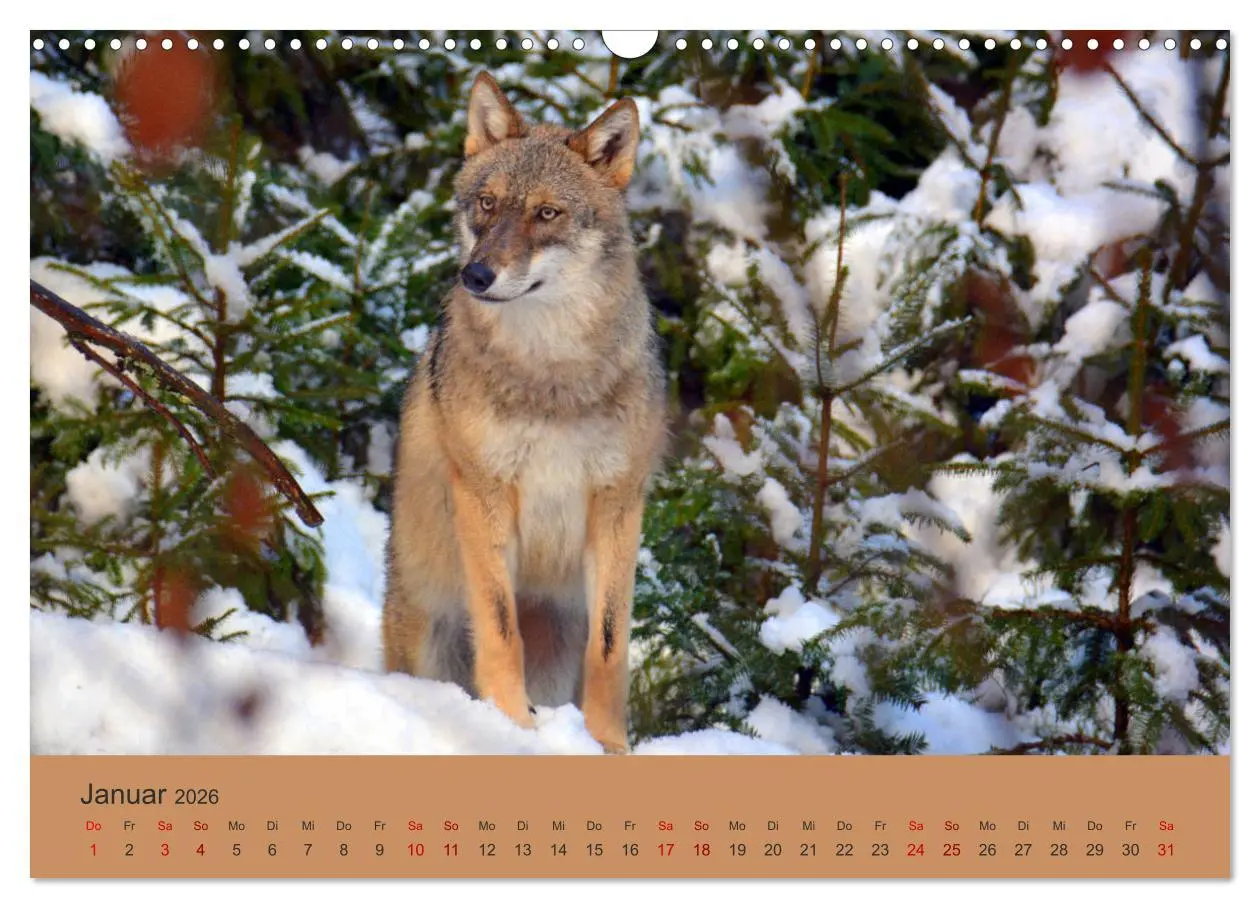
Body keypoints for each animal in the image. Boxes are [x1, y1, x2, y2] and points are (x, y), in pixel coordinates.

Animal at [382, 73, 668, 754]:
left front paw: (607, 746)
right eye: (487, 205)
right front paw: (513, 728)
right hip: (427, 631)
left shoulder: (618, 504)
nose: (476, 275)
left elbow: (611, 648)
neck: (550, 376)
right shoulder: (483, 493)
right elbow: (499, 627)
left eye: (547, 213)